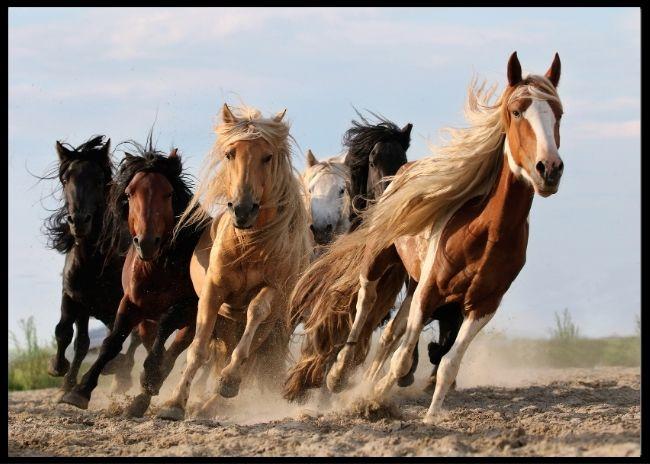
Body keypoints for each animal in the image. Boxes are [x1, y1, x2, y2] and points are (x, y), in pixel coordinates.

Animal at [43, 136, 139, 400]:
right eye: (66, 179)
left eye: (98, 179)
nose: (79, 221)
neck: (93, 262)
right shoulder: (75, 297)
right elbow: (68, 333)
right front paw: (61, 374)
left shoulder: (119, 303)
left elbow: (115, 338)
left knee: (134, 339)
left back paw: (120, 376)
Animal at [60, 139, 210, 416]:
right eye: (129, 194)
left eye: (168, 194)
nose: (147, 242)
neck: (158, 268)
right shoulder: (130, 303)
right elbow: (112, 342)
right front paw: (80, 391)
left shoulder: (187, 306)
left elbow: (166, 328)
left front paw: (150, 376)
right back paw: (140, 399)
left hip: (194, 321)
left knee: (173, 351)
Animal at [156, 104, 311, 421]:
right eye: (230, 154)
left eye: (267, 157)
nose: (242, 209)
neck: (249, 245)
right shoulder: (213, 292)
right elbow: (198, 350)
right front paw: (174, 403)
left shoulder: (273, 290)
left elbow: (255, 314)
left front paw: (228, 380)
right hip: (227, 324)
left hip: (271, 328)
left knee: (249, 358)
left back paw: (213, 402)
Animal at [284, 51, 565, 425]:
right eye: (517, 111)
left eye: (558, 113)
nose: (549, 169)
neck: (485, 232)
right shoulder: (429, 290)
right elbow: (401, 355)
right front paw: (372, 396)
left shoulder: (482, 305)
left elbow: (446, 363)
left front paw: (429, 416)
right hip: (380, 260)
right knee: (364, 304)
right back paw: (339, 373)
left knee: (391, 333)